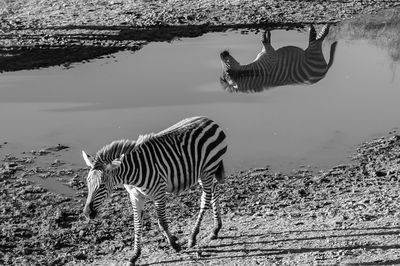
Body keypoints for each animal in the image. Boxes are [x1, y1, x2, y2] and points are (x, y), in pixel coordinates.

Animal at [80, 117, 228, 266]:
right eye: (87, 183)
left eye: (102, 185)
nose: (87, 213)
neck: (133, 172)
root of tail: (209, 120)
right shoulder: (135, 196)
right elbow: (137, 225)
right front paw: (134, 256)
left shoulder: (159, 194)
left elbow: (162, 222)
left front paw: (174, 245)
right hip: (201, 172)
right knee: (213, 192)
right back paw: (216, 229)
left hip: (207, 169)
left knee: (205, 199)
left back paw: (193, 237)